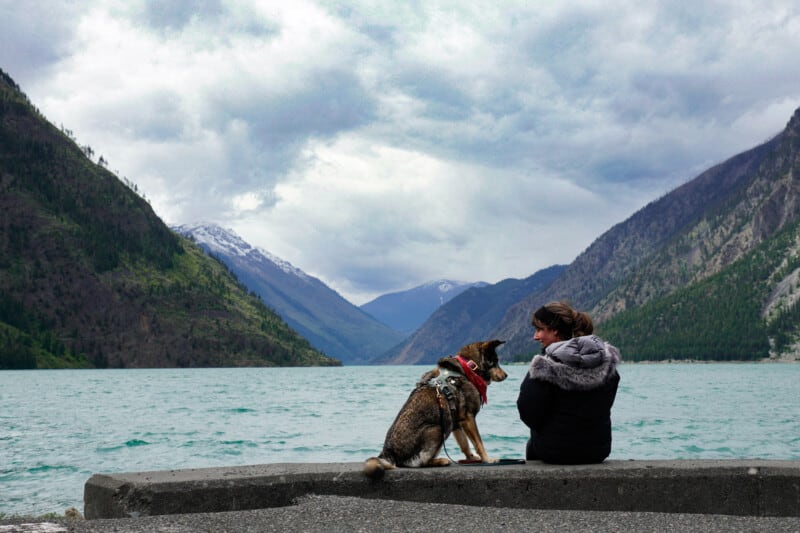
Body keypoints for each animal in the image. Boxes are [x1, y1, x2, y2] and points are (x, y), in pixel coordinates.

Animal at [364, 338, 506, 480]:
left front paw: (471, 458)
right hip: (437, 429)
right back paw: (439, 460)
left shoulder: (457, 423)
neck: (469, 367)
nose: (506, 375)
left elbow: (465, 444)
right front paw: (487, 459)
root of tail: (388, 453)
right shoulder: (468, 418)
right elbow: (478, 443)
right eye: (495, 361)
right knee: (417, 463)